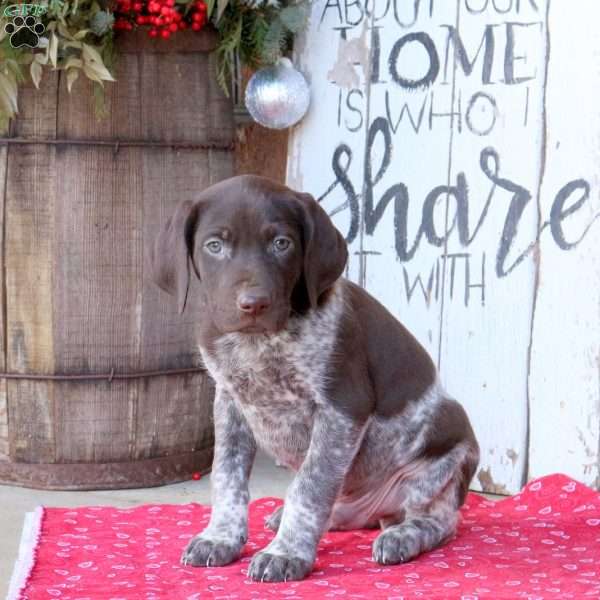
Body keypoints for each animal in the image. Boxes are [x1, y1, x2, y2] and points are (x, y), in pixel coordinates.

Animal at [151, 176, 482, 584]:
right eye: (214, 245)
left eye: (282, 243)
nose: (253, 303)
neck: (258, 342)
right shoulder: (230, 402)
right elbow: (227, 477)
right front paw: (221, 537)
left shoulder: (342, 409)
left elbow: (309, 487)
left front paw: (286, 553)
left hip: (436, 471)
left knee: (442, 520)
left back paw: (403, 536)